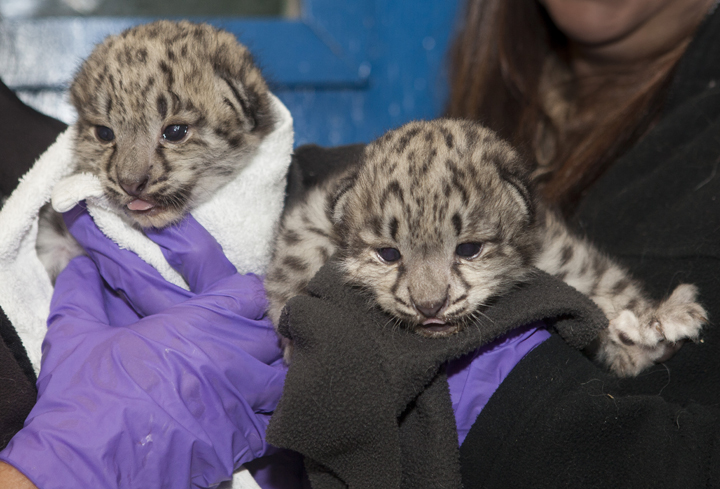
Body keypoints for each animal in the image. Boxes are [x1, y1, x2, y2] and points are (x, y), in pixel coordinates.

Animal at [265, 118, 707, 376]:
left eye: (469, 249)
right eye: (388, 254)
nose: (430, 305)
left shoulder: (560, 251)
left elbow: (605, 280)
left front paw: (653, 323)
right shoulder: (314, 210)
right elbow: (295, 252)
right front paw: (292, 328)